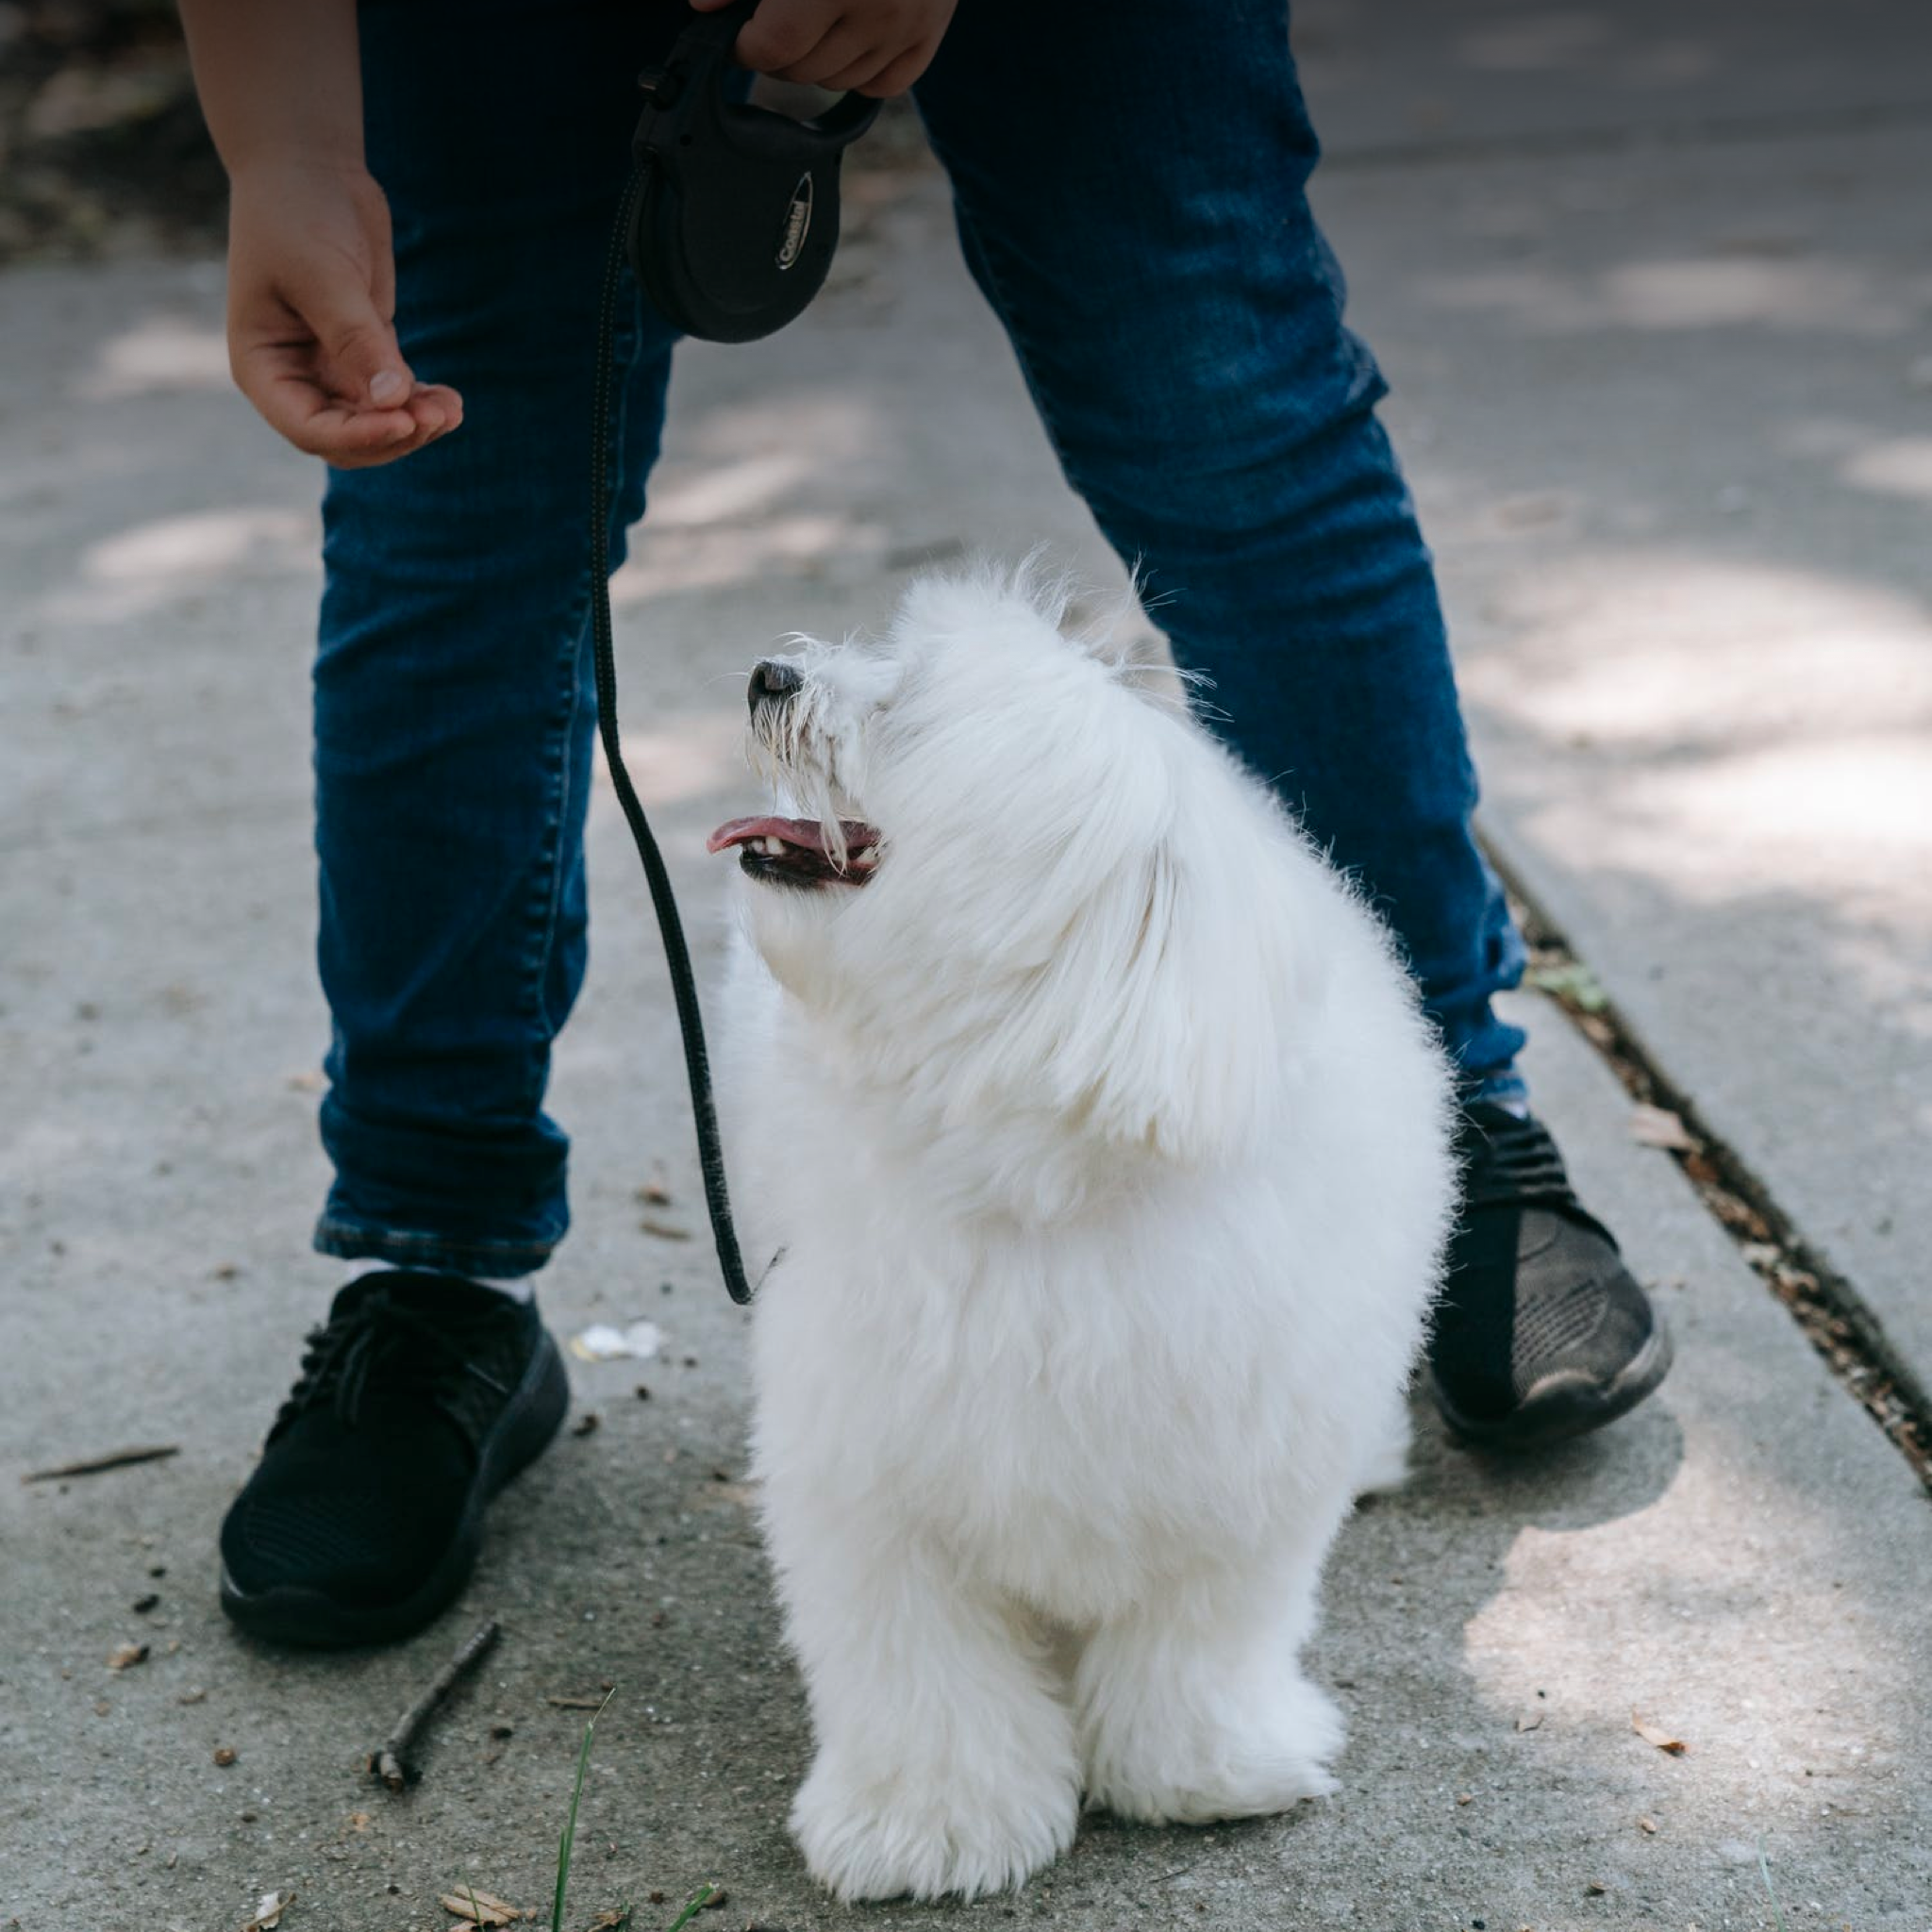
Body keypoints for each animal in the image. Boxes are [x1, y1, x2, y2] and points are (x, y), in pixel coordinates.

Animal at [710, 564, 1453, 1901]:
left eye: (910, 711)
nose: (770, 674)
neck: (1044, 1175)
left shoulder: (1238, 1479)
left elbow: (1199, 1642)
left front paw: (1201, 1767)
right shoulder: (870, 1473)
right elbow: (918, 1667)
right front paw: (931, 1822)